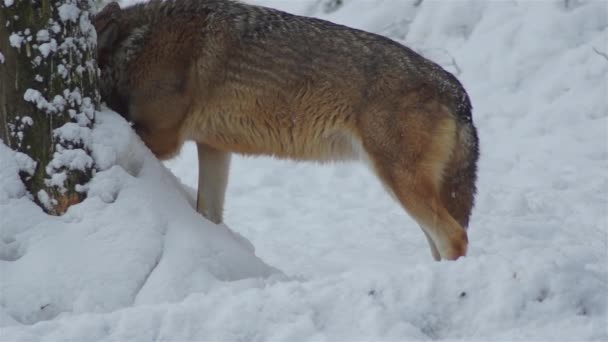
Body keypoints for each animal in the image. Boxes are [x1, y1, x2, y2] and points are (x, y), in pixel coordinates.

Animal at [94, 0, 480, 260]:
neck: (135, 45)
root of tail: (456, 89)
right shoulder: (214, 148)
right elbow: (209, 215)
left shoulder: (162, 139)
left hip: (398, 181)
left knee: (454, 236)